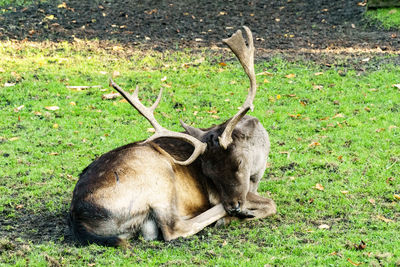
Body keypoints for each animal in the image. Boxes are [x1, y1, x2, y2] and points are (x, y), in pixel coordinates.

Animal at [68, 27, 276, 247]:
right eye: (208, 173)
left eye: (239, 163)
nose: (234, 206)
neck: (257, 171)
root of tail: (80, 221)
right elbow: (271, 203)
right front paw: (241, 213)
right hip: (160, 176)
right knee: (174, 228)